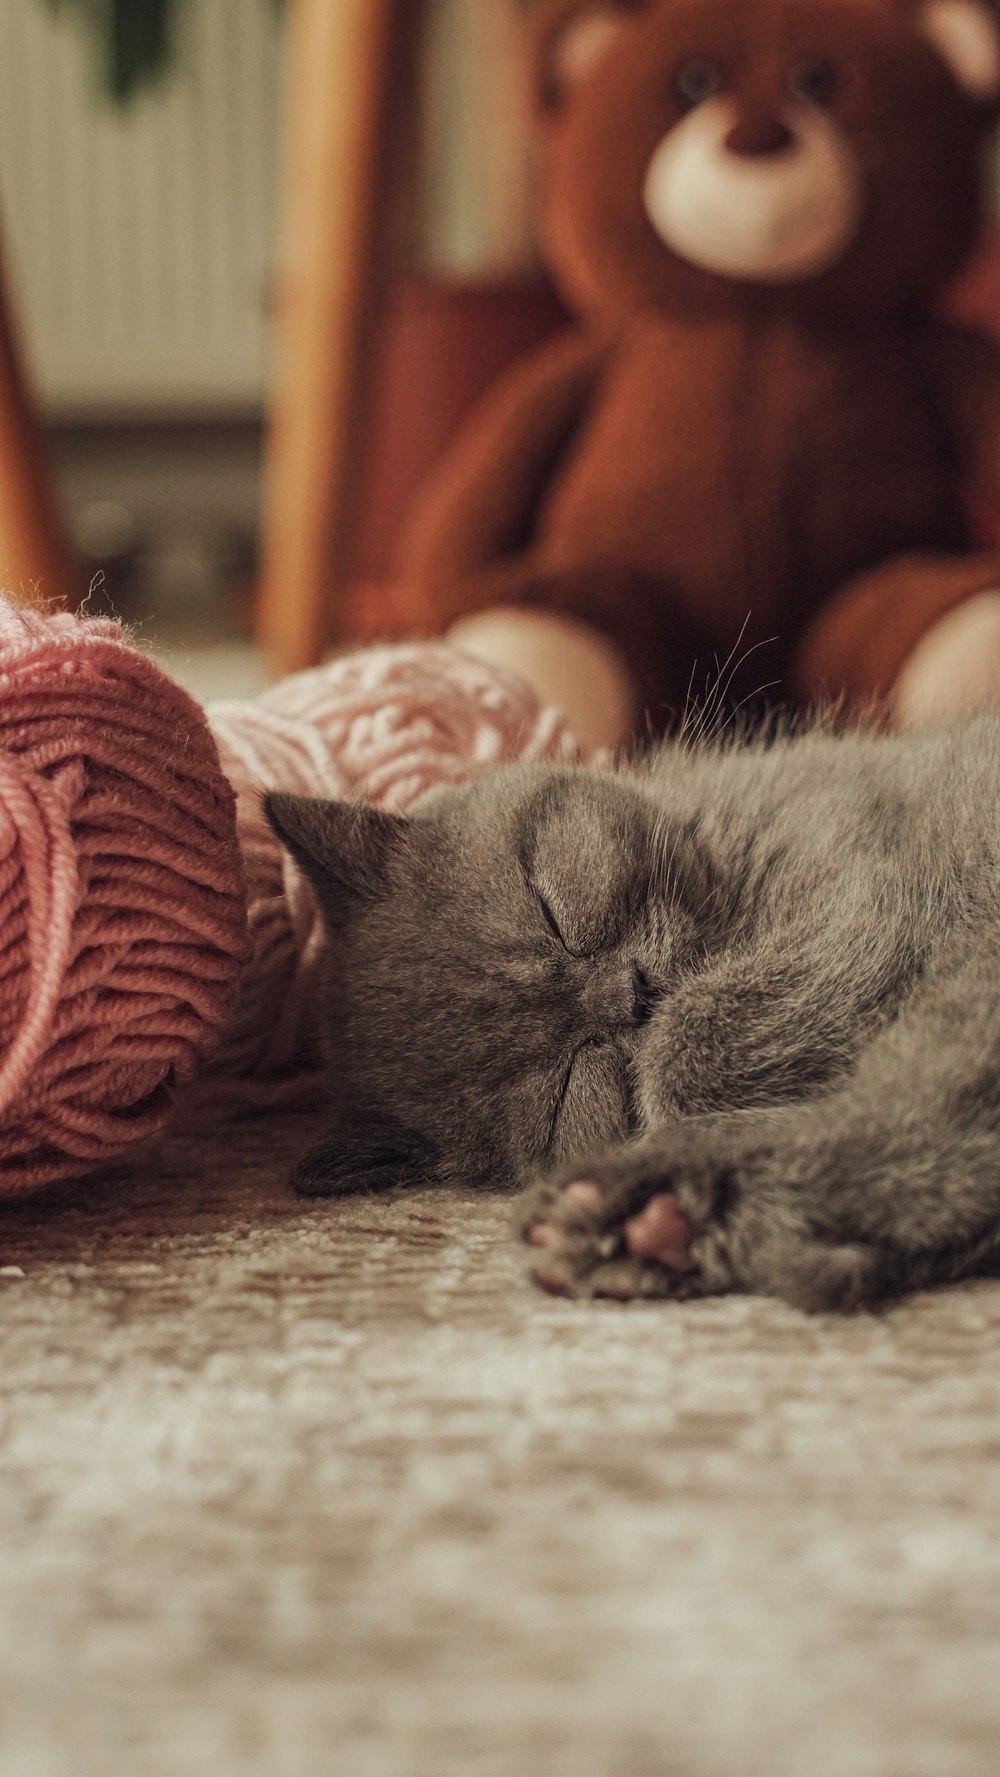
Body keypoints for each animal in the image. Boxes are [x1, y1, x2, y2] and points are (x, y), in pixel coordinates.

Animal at [264, 714, 1000, 1314]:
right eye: (565, 1085)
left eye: (553, 912)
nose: (632, 994)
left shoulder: (865, 895)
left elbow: (689, 1043)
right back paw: (655, 1224)